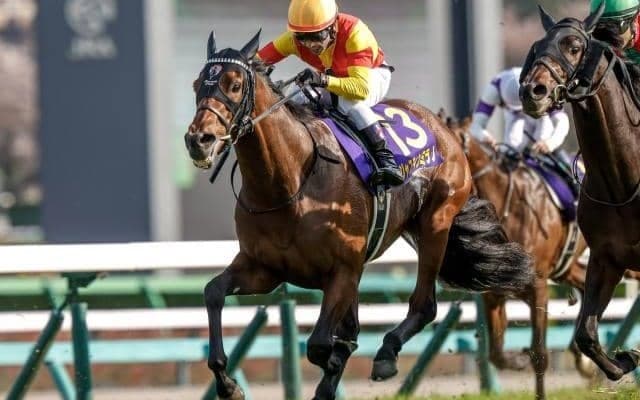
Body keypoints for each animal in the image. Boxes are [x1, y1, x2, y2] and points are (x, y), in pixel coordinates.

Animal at [184, 30, 533, 400]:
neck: (288, 182)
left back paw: (386, 354)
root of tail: (441, 125)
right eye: (197, 85)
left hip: (435, 223)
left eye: (235, 84)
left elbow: (322, 345)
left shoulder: (343, 270)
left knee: (424, 305)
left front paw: (334, 366)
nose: (198, 140)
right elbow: (213, 292)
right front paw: (228, 384)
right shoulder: (264, 269)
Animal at [438, 111, 592, 399]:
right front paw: (517, 360)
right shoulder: (493, 292)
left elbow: (540, 354)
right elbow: (496, 354)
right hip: (566, 267)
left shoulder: (538, 286)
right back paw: (584, 359)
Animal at [520, 4, 640, 381]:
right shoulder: (605, 259)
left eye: (574, 47)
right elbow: (586, 334)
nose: (533, 91)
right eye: (536, 47)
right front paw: (624, 360)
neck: (621, 183)